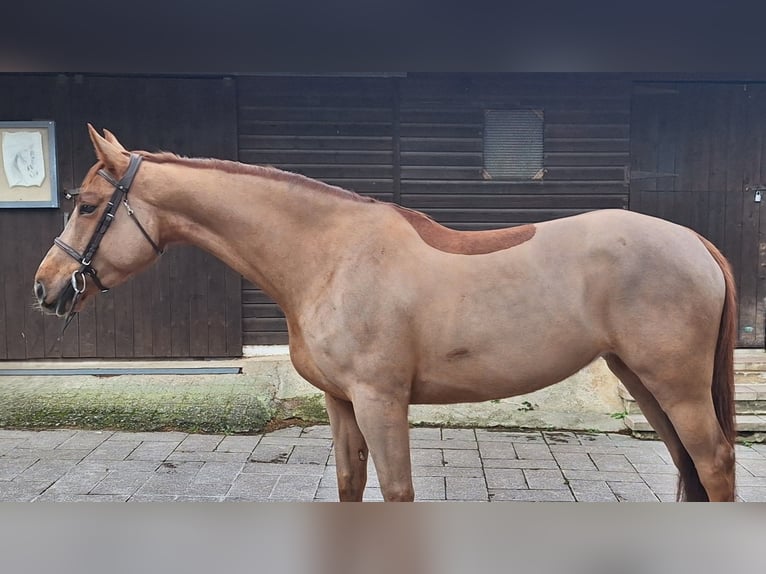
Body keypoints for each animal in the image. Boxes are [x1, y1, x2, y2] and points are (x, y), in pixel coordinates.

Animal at [33, 125, 737, 502]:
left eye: (90, 205)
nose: (45, 288)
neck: (329, 254)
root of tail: (695, 242)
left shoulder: (380, 399)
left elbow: (397, 492)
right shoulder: (342, 403)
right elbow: (352, 486)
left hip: (676, 385)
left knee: (714, 463)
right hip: (641, 380)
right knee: (688, 467)